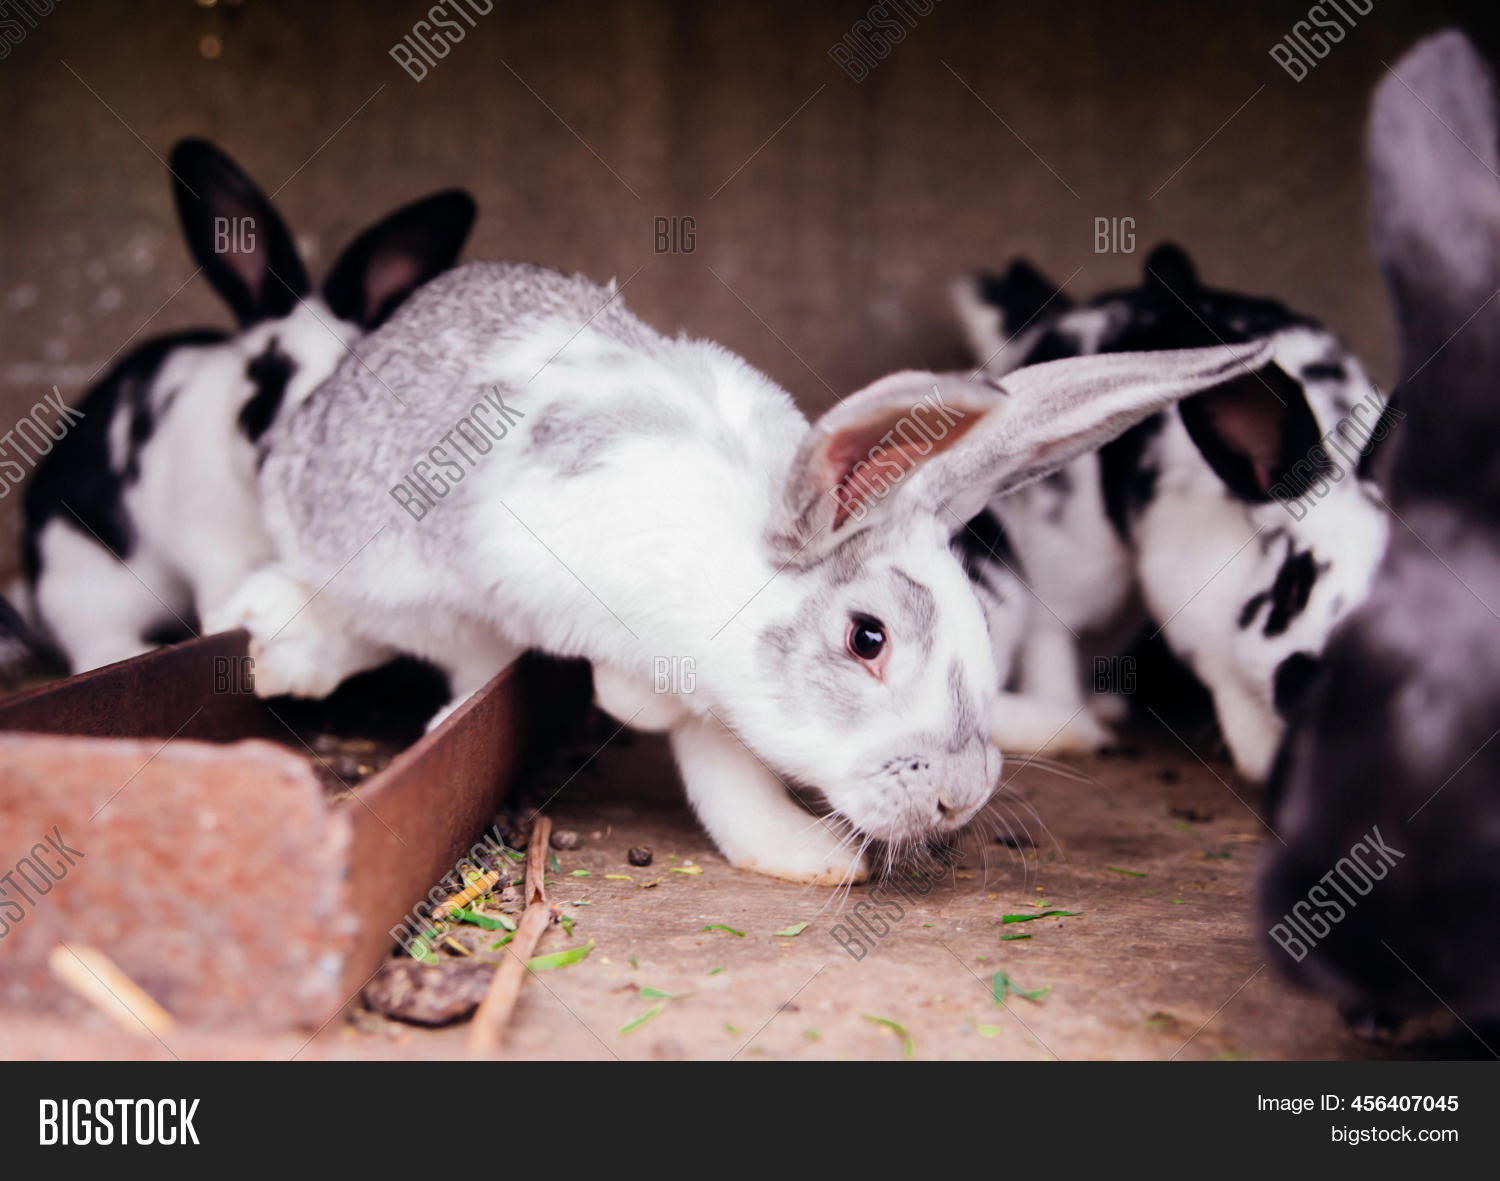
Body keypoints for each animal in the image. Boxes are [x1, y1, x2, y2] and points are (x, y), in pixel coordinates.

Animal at [210, 256, 1273, 883]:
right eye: (867, 638)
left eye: (975, 621)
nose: (961, 796)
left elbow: (719, 766)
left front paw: (802, 853)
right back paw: (274, 644)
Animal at [953, 244, 1395, 780]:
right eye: (1291, 588)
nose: (1314, 685)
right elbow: (1234, 689)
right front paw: (1262, 761)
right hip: (1076, 552)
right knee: (1051, 627)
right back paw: (1073, 715)